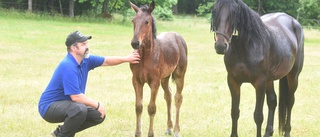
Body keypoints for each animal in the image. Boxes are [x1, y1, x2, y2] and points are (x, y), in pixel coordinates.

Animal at [129, 0, 186, 136]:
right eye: (133, 20)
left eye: (147, 21)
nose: (135, 43)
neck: (146, 56)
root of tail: (178, 36)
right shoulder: (136, 80)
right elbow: (138, 107)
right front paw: (138, 133)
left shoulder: (154, 82)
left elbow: (151, 108)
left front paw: (150, 133)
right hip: (165, 78)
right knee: (168, 95)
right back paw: (169, 127)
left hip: (180, 75)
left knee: (178, 98)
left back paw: (176, 130)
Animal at [211, 0, 304, 137]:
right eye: (215, 10)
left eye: (234, 12)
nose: (221, 46)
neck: (245, 47)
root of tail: (294, 22)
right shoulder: (233, 81)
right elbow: (235, 112)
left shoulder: (260, 83)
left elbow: (258, 116)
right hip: (270, 80)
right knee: (272, 101)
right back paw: (268, 132)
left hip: (293, 76)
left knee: (289, 101)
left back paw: (287, 132)